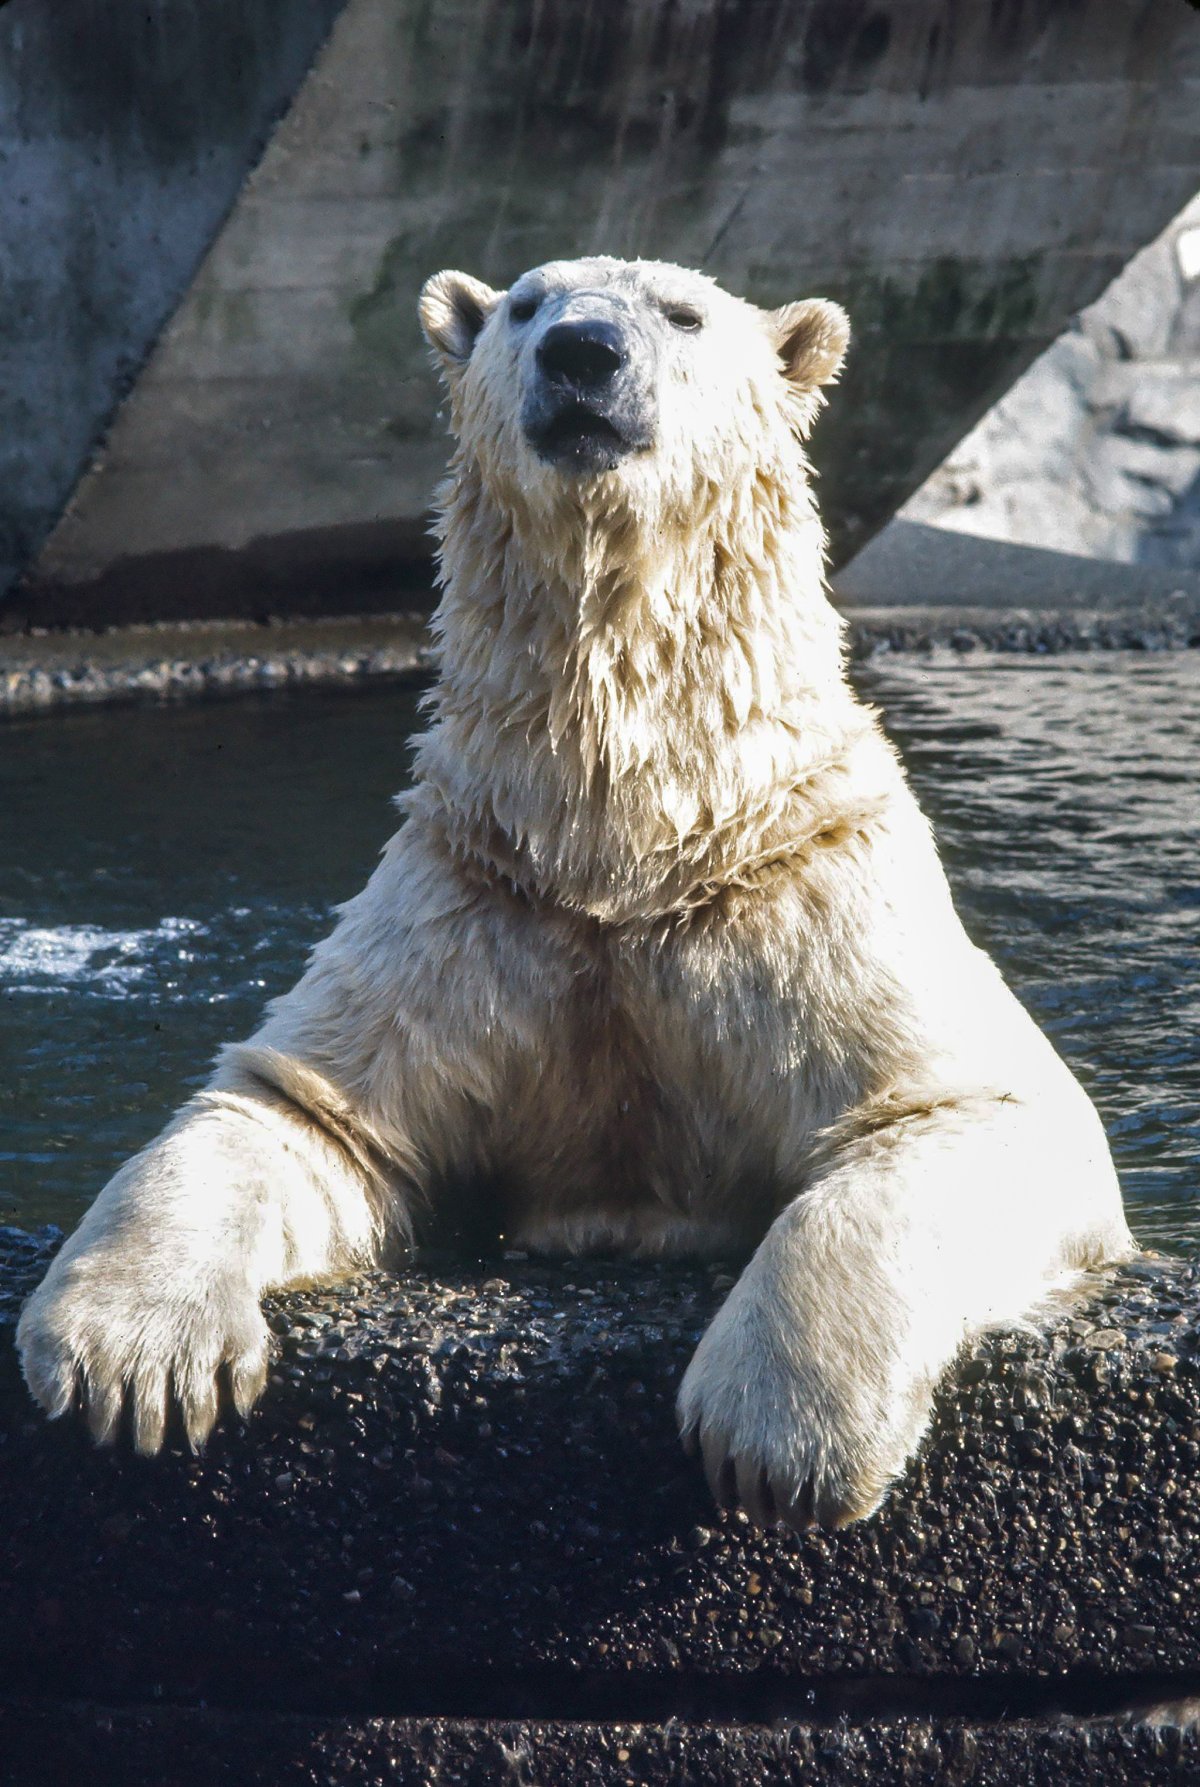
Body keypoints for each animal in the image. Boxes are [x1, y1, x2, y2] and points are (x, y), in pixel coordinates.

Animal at [16, 259, 1135, 1529]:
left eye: (686, 314)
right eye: (525, 305)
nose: (584, 352)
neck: (628, 843)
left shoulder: (804, 905)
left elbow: (966, 1107)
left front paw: (775, 1433)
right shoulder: (477, 905)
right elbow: (298, 1112)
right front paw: (128, 1362)